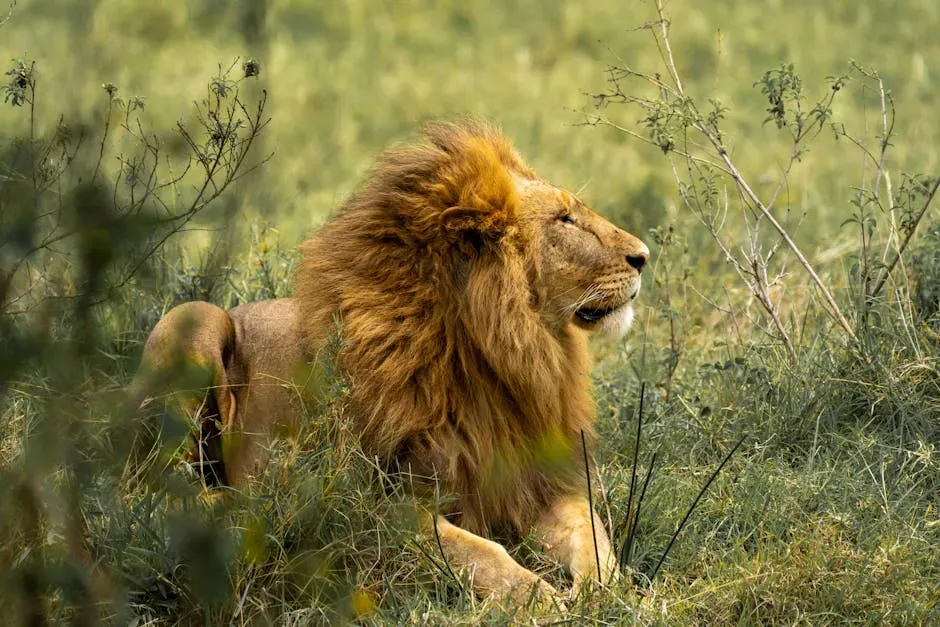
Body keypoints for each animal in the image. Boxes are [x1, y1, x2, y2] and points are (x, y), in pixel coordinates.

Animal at [132, 120, 649, 609]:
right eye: (566, 220)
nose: (644, 256)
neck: (498, 356)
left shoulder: (539, 482)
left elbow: (593, 536)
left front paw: (606, 591)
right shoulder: (370, 503)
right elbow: (475, 550)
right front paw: (535, 595)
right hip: (194, 319)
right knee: (149, 490)